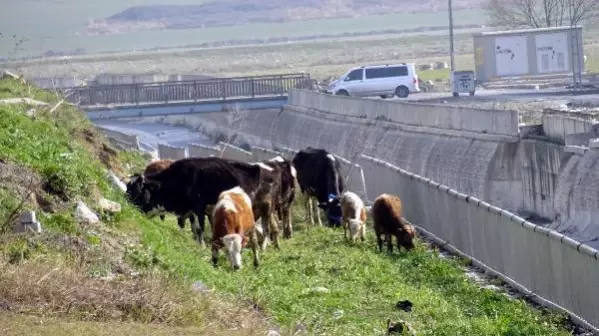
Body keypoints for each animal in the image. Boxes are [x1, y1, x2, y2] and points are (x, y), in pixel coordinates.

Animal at [129, 158, 274, 247]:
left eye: (138, 192)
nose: (129, 207)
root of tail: (254, 168)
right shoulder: (191, 209)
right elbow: (193, 226)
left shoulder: (198, 206)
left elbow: (199, 227)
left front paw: (202, 245)